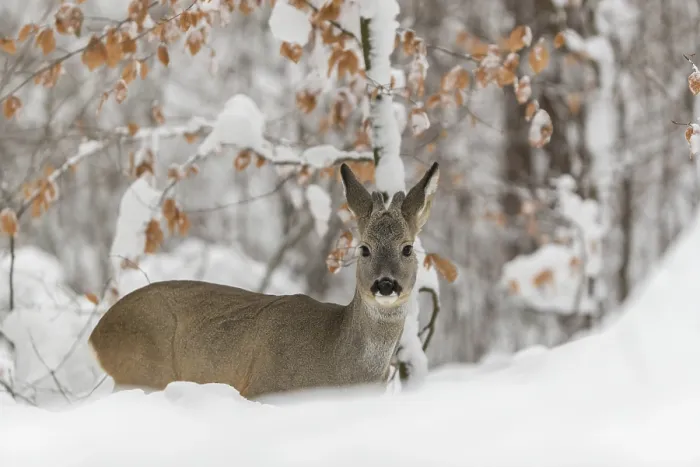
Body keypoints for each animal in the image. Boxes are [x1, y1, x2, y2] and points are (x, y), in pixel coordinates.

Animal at [88, 161, 440, 400]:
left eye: (408, 248)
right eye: (364, 249)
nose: (385, 284)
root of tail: (96, 334)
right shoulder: (262, 388)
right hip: (143, 369)